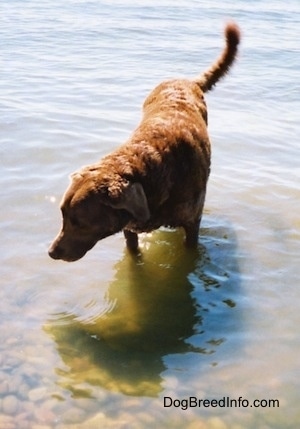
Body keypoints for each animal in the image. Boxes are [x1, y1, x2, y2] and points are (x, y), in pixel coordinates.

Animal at [49, 22, 241, 260]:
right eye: (62, 215)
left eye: (79, 222)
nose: (51, 252)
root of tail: (186, 81)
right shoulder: (130, 229)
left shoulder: (192, 224)